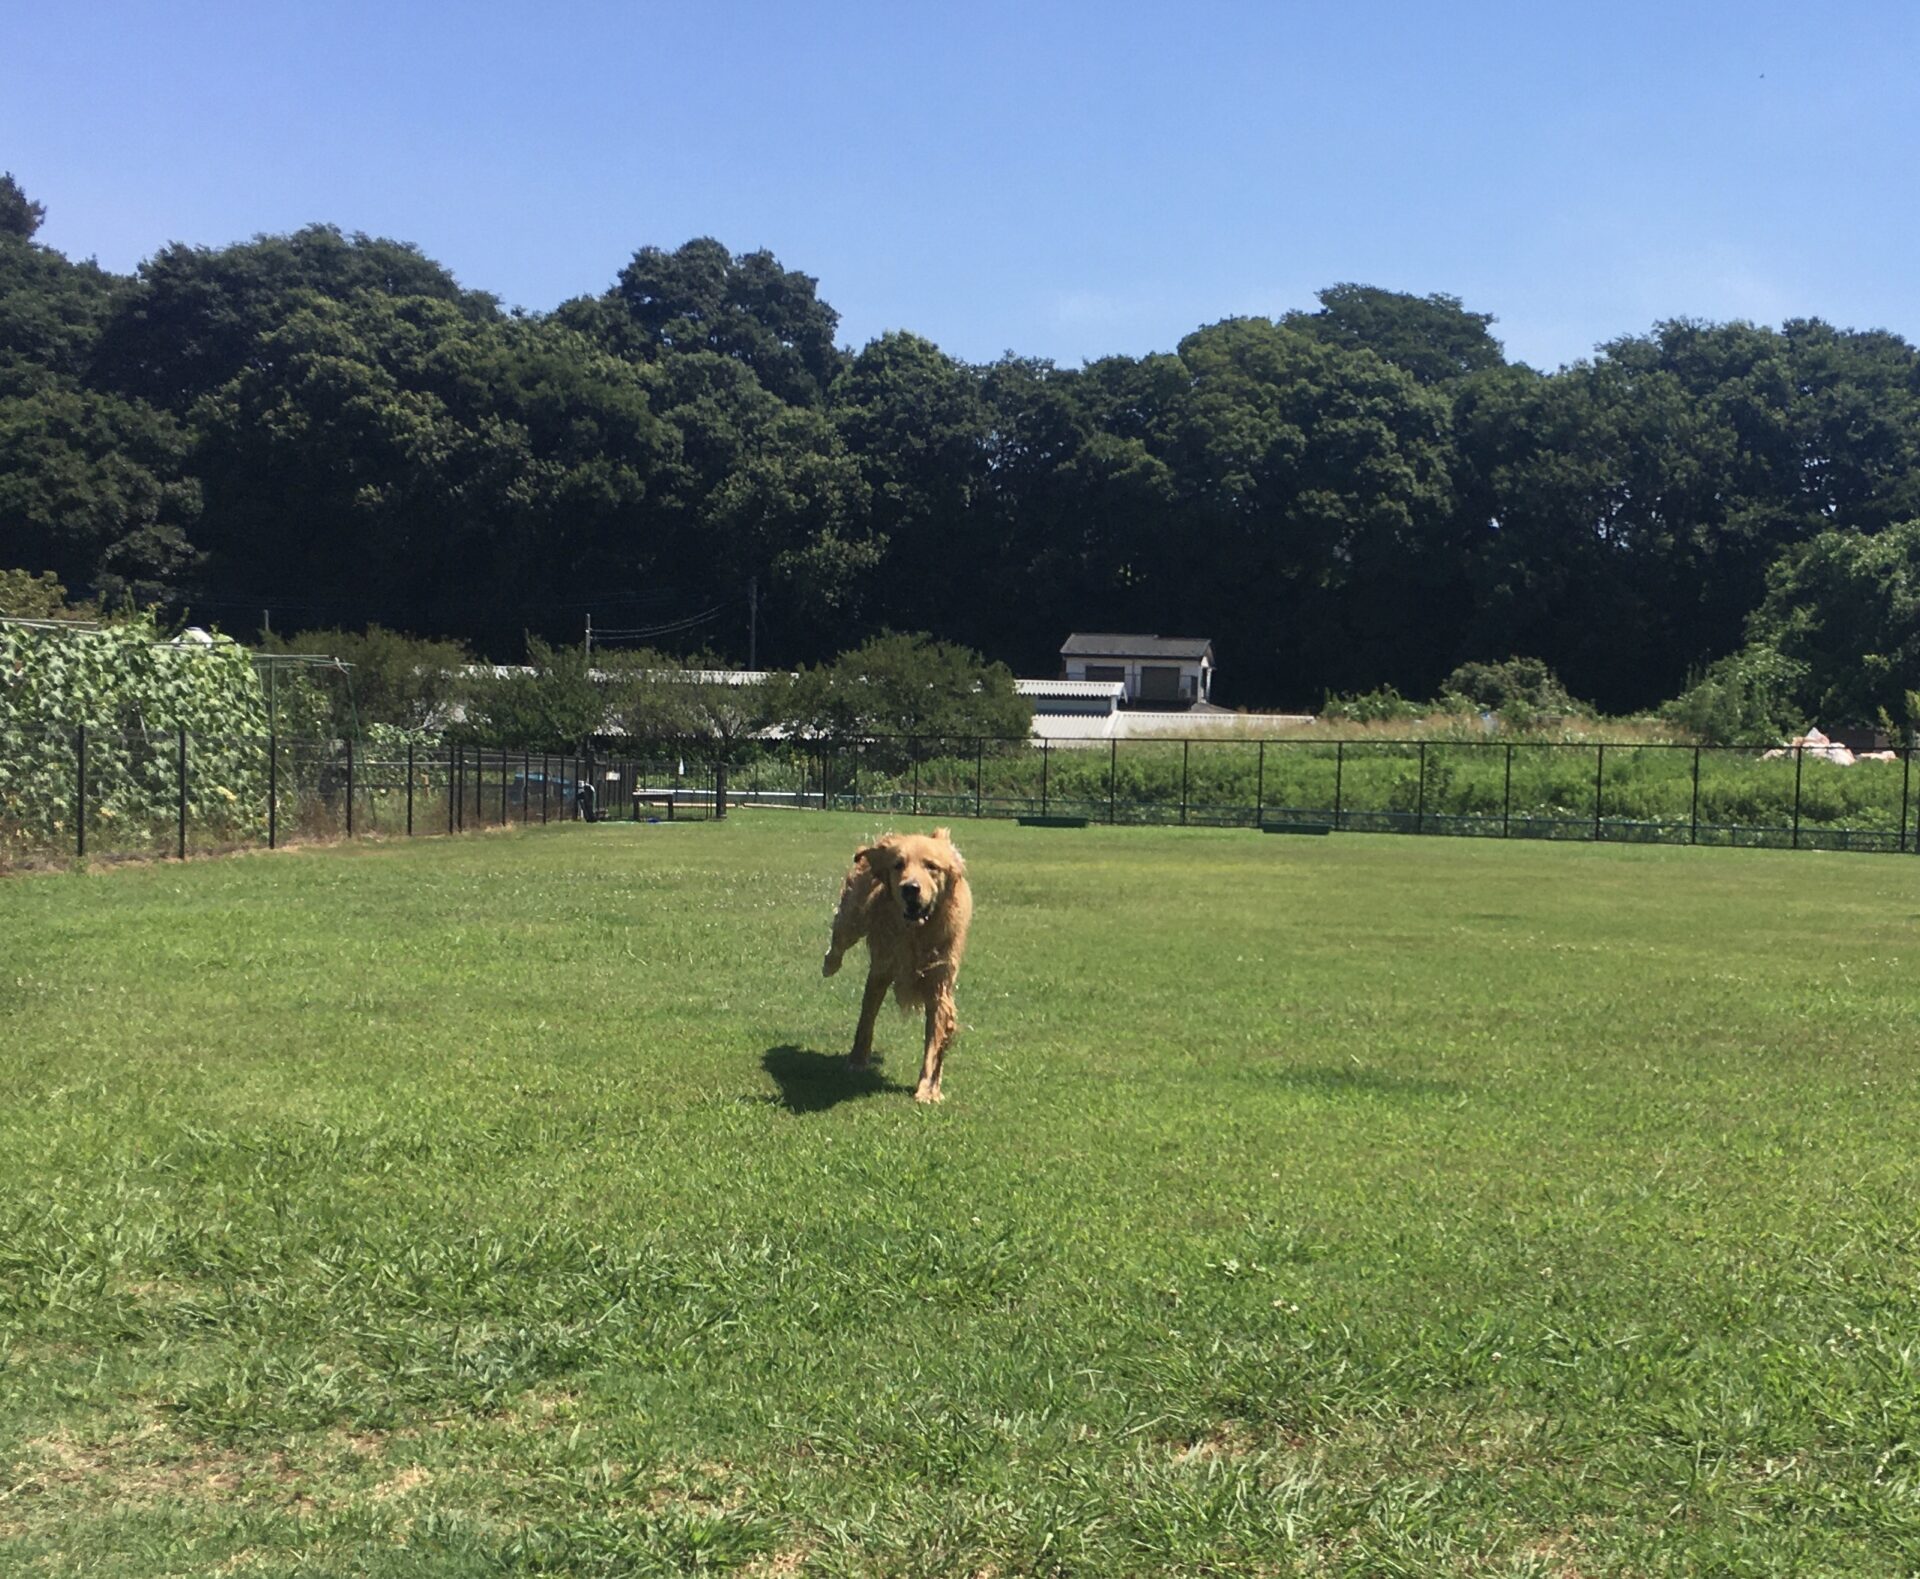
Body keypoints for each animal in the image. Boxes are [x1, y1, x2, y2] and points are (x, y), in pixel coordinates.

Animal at [822, 828, 972, 1103]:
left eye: (932, 866)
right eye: (898, 865)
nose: (910, 888)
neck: (917, 931)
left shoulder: (939, 986)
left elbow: (935, 1041)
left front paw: (928, 1089)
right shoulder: (881, 969)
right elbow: (867, 1017)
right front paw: (857, 1059)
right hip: (854, 916)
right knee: (840, 938)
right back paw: (829, 965)